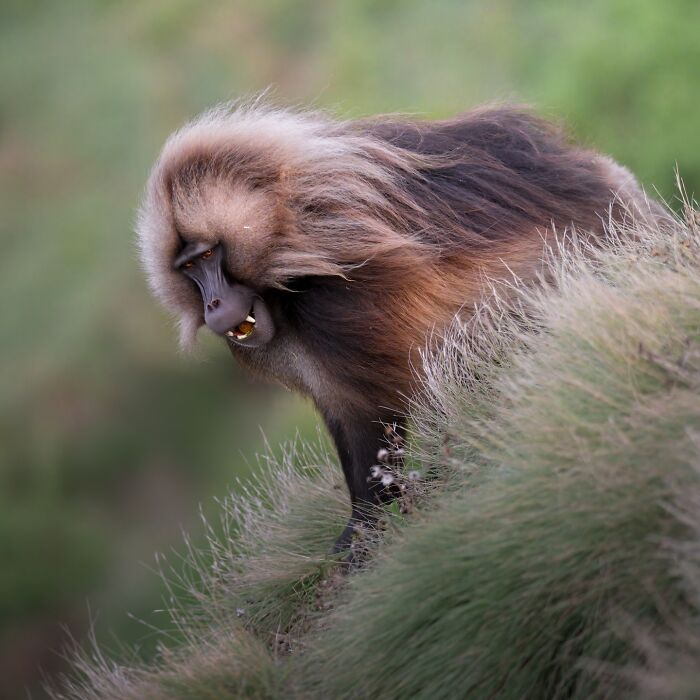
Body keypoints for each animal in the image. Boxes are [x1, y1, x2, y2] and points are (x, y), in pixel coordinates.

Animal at [137, 100, 664, 551]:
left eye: (209, 256)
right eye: (188, 268)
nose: (213, 304)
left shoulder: (335, 307)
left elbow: (376, 412)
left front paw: (364, 531)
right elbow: (345, 415)